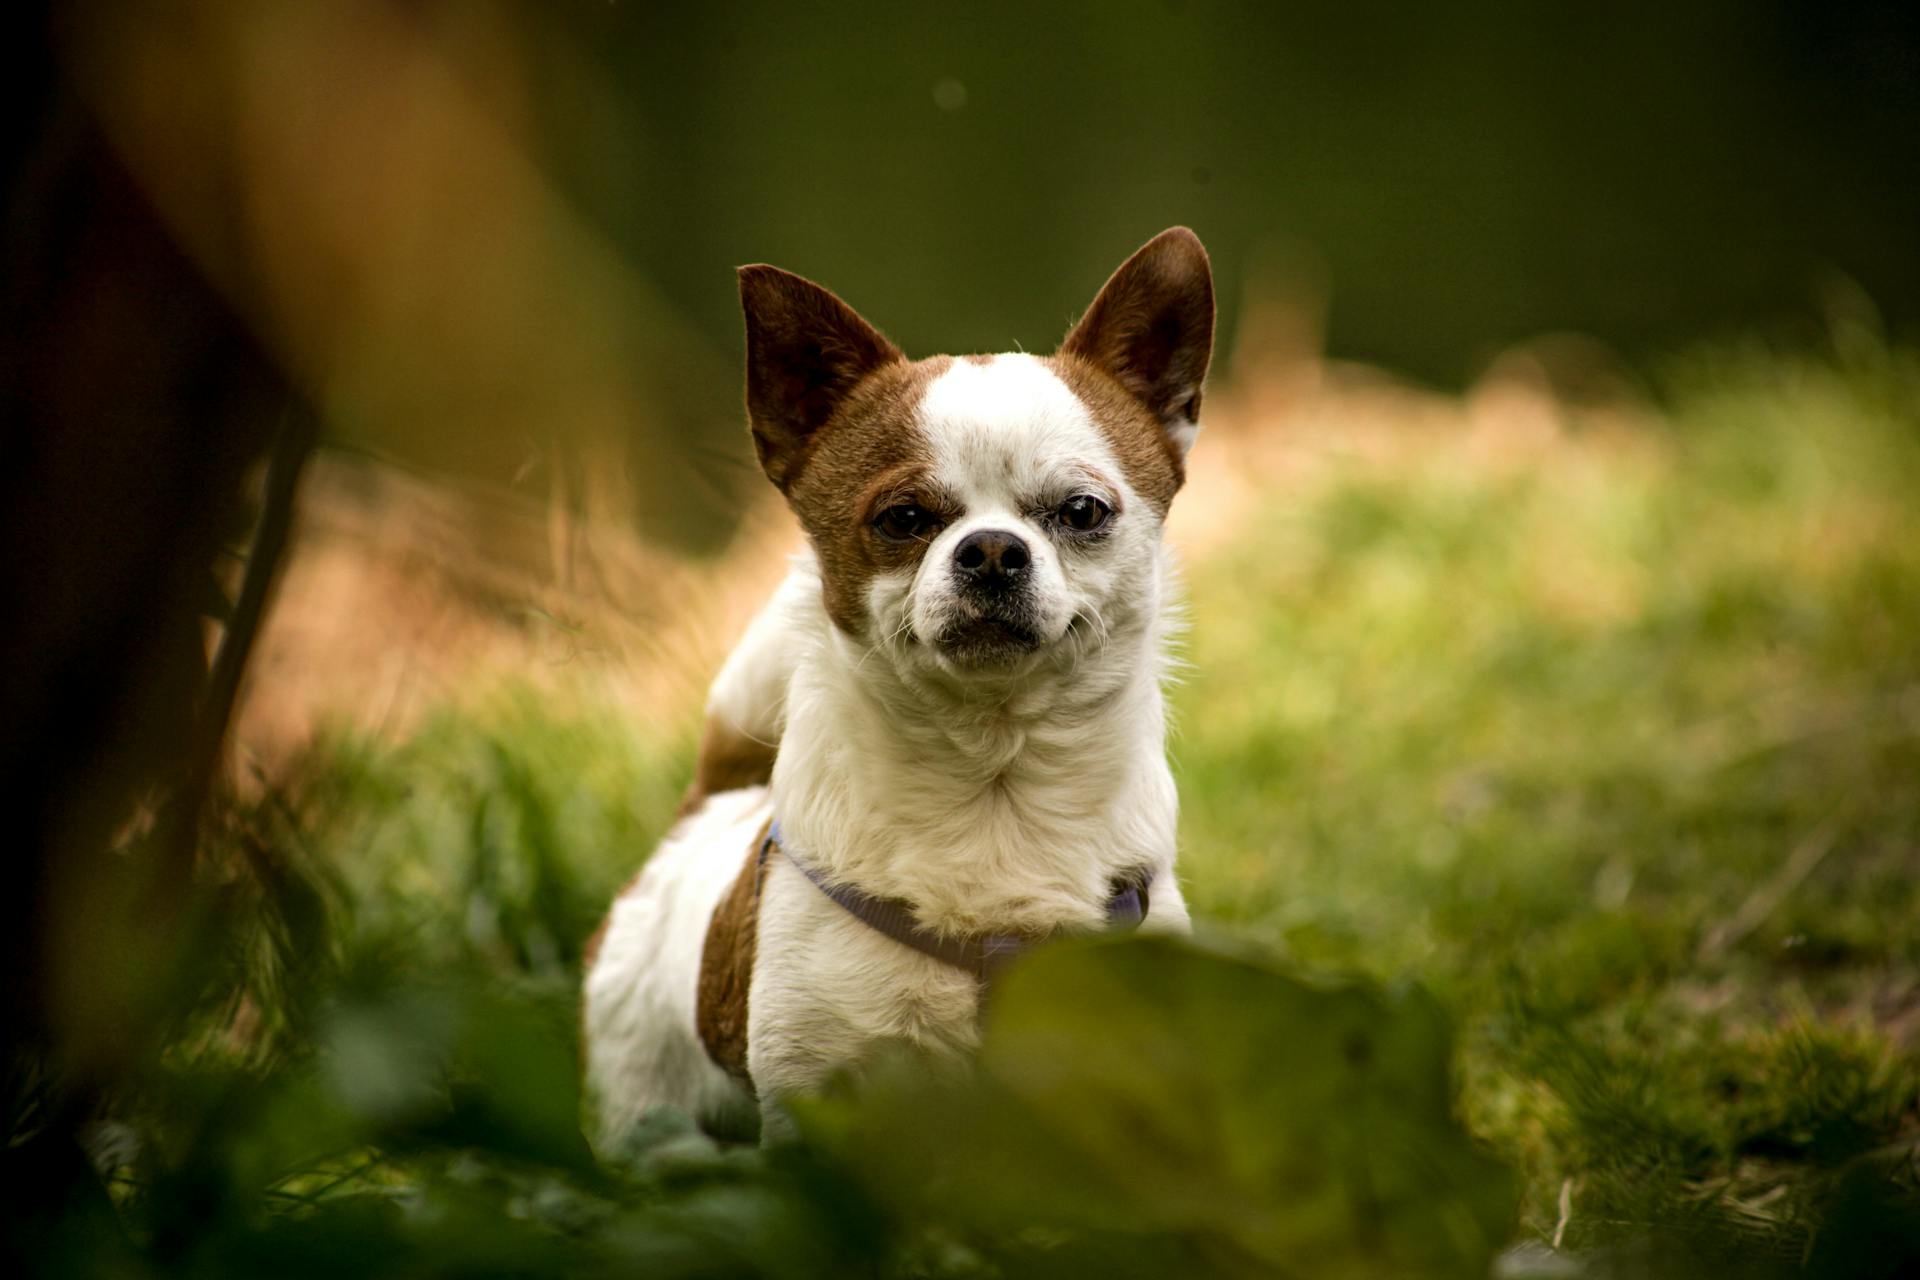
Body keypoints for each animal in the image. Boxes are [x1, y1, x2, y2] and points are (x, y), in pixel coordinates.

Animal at [583, 227, 1213, 1143]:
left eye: (1083, 512)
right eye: (904, 519)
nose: (992, 549)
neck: (995, 786)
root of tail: (706, 809)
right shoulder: (815, 1098)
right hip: (641, 1111)